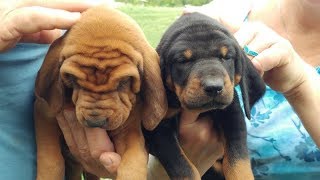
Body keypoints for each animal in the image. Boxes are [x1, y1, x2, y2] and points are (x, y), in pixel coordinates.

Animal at [33, 5, 166, 180]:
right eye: (73, 80)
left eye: (124, 82)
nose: (95, 123)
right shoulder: (44, 114)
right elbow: (50, 159)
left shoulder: (129, 130)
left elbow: (133, 160)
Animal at [144, 13, 266, 180]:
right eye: (182, 60)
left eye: (227, 57)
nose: (214, 87)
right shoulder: (159, 129)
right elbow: (183, 168)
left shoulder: (232, 114)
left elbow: (238, 161)